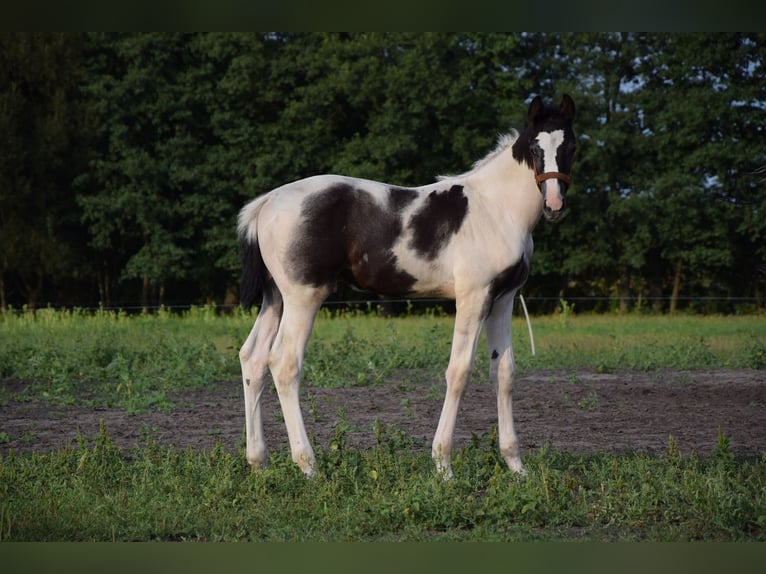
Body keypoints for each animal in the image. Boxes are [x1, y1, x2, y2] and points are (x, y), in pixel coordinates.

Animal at [240, 95, 576, 482]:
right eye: (535, 148)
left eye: (570, 147)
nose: (554, 204)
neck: (496, 209)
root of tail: (266, 203)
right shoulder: (473, 297)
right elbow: (459, 372)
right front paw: (443, 466)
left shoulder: (503, 299)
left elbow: (503, 373)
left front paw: (516, 466)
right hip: (303, 298)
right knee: (284, 363)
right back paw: (309, 467)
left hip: (275, 299)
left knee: (253, 359)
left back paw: (259, 463)